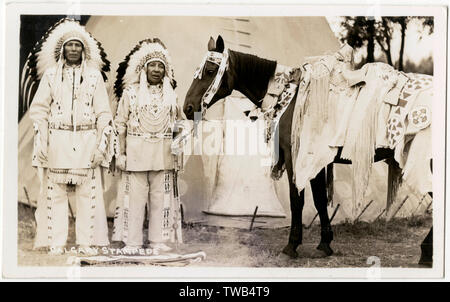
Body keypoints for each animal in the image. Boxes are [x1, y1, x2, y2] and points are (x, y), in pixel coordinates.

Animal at [183, 35, 432, 264]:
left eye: (210, 70)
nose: (187, 108)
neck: (288, 98)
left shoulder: (296, 157)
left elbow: (297, 199)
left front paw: (292, 246)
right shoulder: (315, 161)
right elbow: (320, 199)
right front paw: (325, 244)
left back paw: (425, 253)